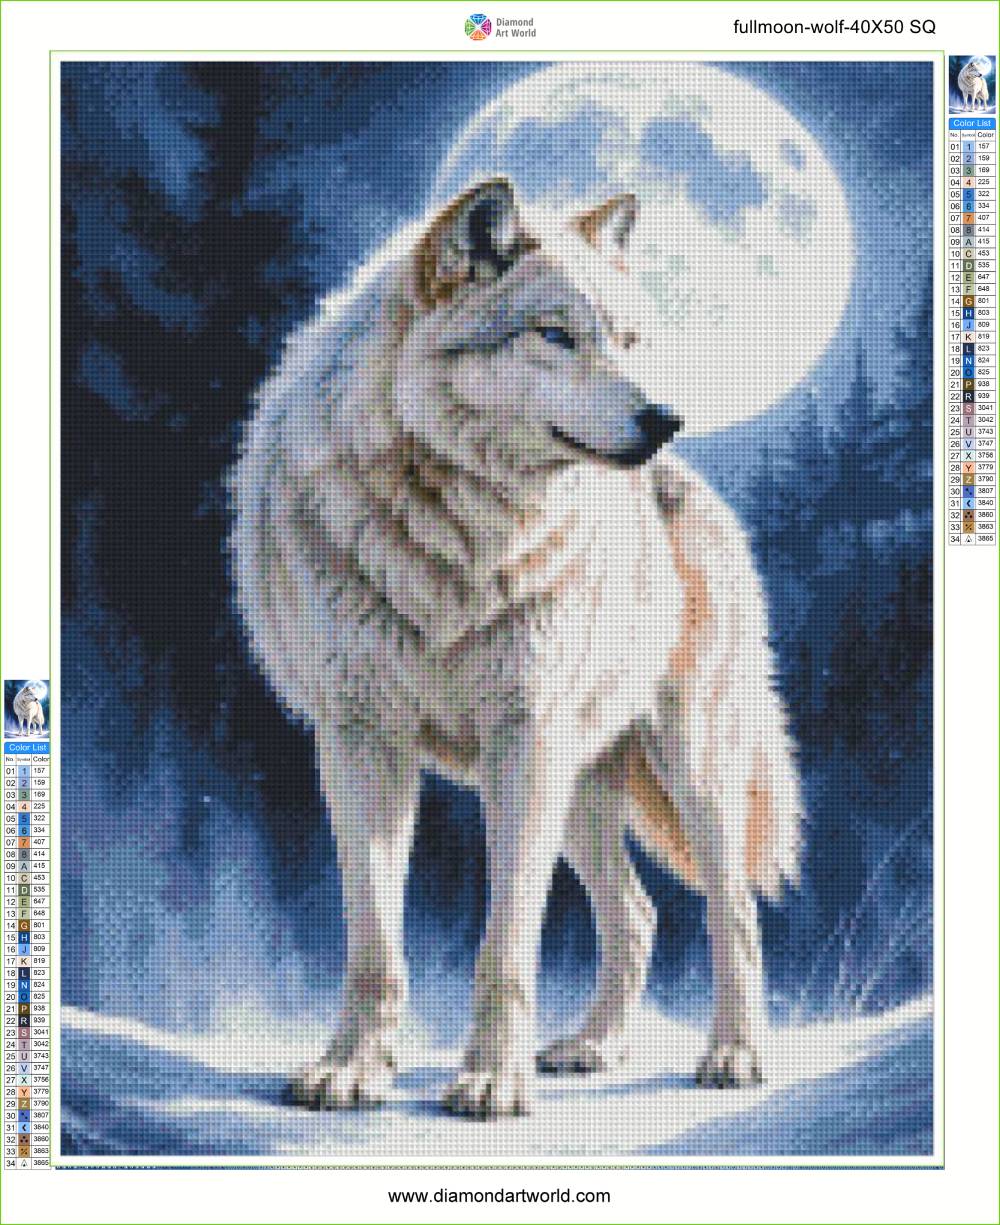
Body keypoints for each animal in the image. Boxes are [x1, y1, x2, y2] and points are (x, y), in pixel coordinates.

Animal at [230, 178, 801, 1118]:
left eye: (629, 340)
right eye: (555, 334)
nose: (667, 416)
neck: (455, 529)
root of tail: (691, 486)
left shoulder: (522, 745)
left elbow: (505, 945)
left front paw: (494, 1078)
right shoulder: (361, 742)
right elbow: (373, 937)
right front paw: (355, 1067)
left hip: (689, 768)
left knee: (735, 911)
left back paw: (735, 1053)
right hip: (582, 788)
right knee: (638, 914)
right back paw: (590, 1045)